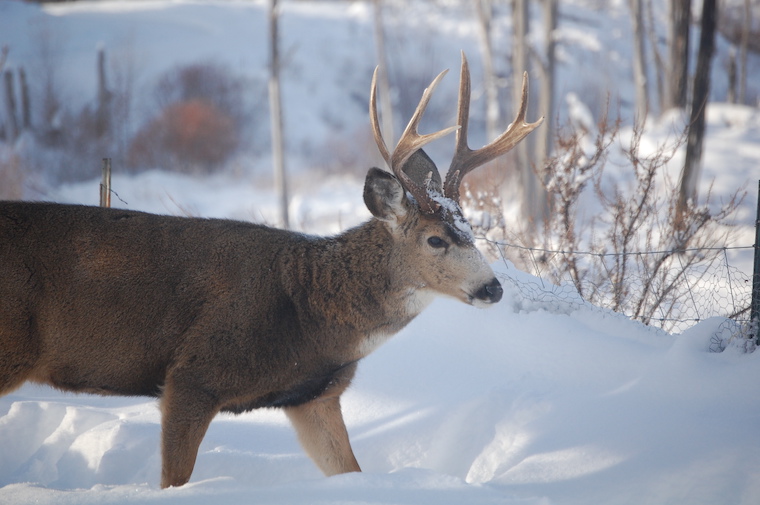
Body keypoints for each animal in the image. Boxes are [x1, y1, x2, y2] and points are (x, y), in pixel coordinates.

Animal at [0, 53, 542, 488]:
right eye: (435, 239)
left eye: (471, 229)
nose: (492, 288)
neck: (306, 308)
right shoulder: (191, 376)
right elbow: (174, 482)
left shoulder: (313, 396)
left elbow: (350, 471)